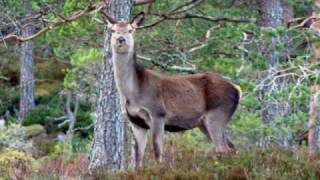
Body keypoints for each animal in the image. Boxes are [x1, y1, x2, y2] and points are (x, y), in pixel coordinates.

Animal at [104, 12, 241, 167]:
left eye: (130, 30)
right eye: (113, 30)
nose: (121, 39)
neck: (133, 93)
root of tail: (237, 89)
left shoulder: (158, 113)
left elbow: (158, 152)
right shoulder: (136, 122)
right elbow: (137, 159)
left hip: (218, 114)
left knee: (223, 149)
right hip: (205, 122)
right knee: (232, 148)